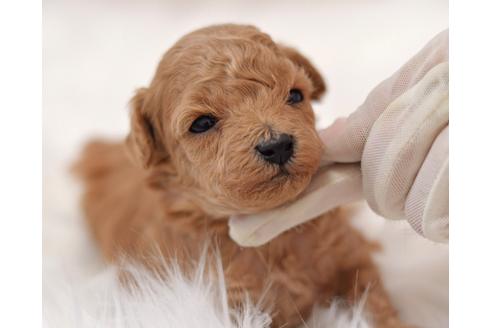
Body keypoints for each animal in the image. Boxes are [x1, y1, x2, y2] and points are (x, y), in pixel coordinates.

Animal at [76, 24, 408, 326]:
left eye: (295, 95)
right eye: (202, 123)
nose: (277, 145)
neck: (277, 237)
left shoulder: (352, 259)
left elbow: (374, 304)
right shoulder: (235, 304)